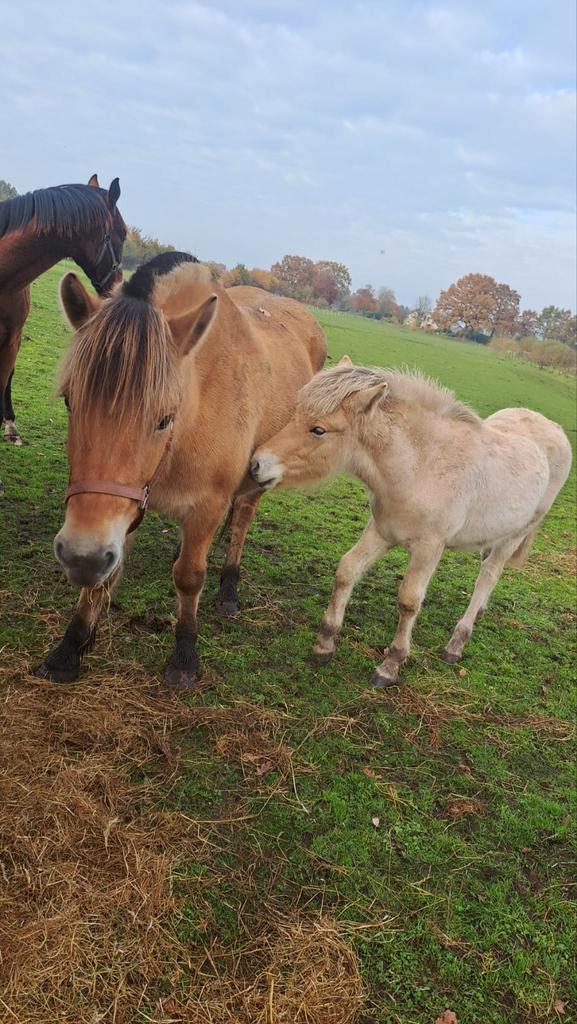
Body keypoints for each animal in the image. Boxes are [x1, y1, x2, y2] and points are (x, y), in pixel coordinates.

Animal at [35, 251, 327, 687]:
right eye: (71, 401)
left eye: (164, 419)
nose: (81, 556)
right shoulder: (125, 510)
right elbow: (105, 580)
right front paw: (70, 648)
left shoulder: (207, 506)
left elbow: (190, 576)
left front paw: (185, 656)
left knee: (242, 519)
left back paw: (228, 587)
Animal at [250, 358, 572, 686]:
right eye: (296, 414)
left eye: (319, 430)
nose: (257, 464)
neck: (420, 465)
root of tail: (554, 429)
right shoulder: (381, 531)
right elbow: (347, 571)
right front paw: (324, 644)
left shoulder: (429, 547)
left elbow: (409, 600)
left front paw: (390, 665)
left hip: (515, 535)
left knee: (489, 575)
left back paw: (456, 643)